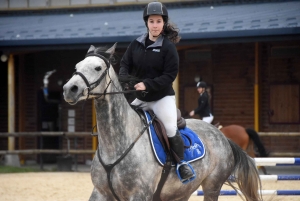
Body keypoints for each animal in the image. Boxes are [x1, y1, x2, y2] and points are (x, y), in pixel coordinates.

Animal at [63, 43, 262, 201]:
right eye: (77, 66)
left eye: (97, 68)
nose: (69, 89)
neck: (116, 144)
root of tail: (221, 136)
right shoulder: (100, 193)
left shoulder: (140, 195)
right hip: (182, 191)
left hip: (212, 186)